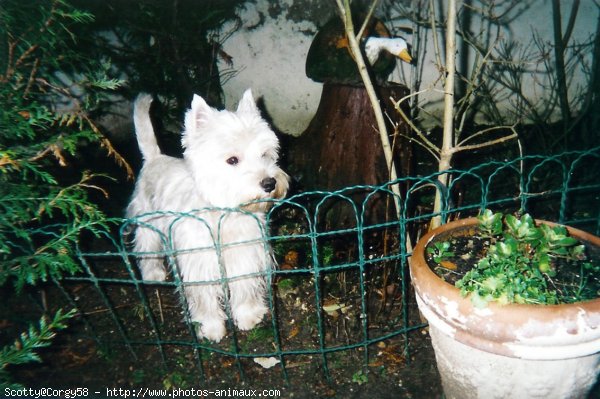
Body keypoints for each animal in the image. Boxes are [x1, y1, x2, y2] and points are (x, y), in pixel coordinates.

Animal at [125, 90, 290, 344]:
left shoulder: (244, 253)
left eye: (265, 155)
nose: (270, 183)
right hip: (147, 221)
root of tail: (155, 158)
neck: (224, 214)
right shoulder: (199, 263)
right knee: (146, 247)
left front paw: (247, 316)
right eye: (232, 160)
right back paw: (152, 273)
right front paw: (211, 328)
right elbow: (205, 299)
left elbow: (244, 285)